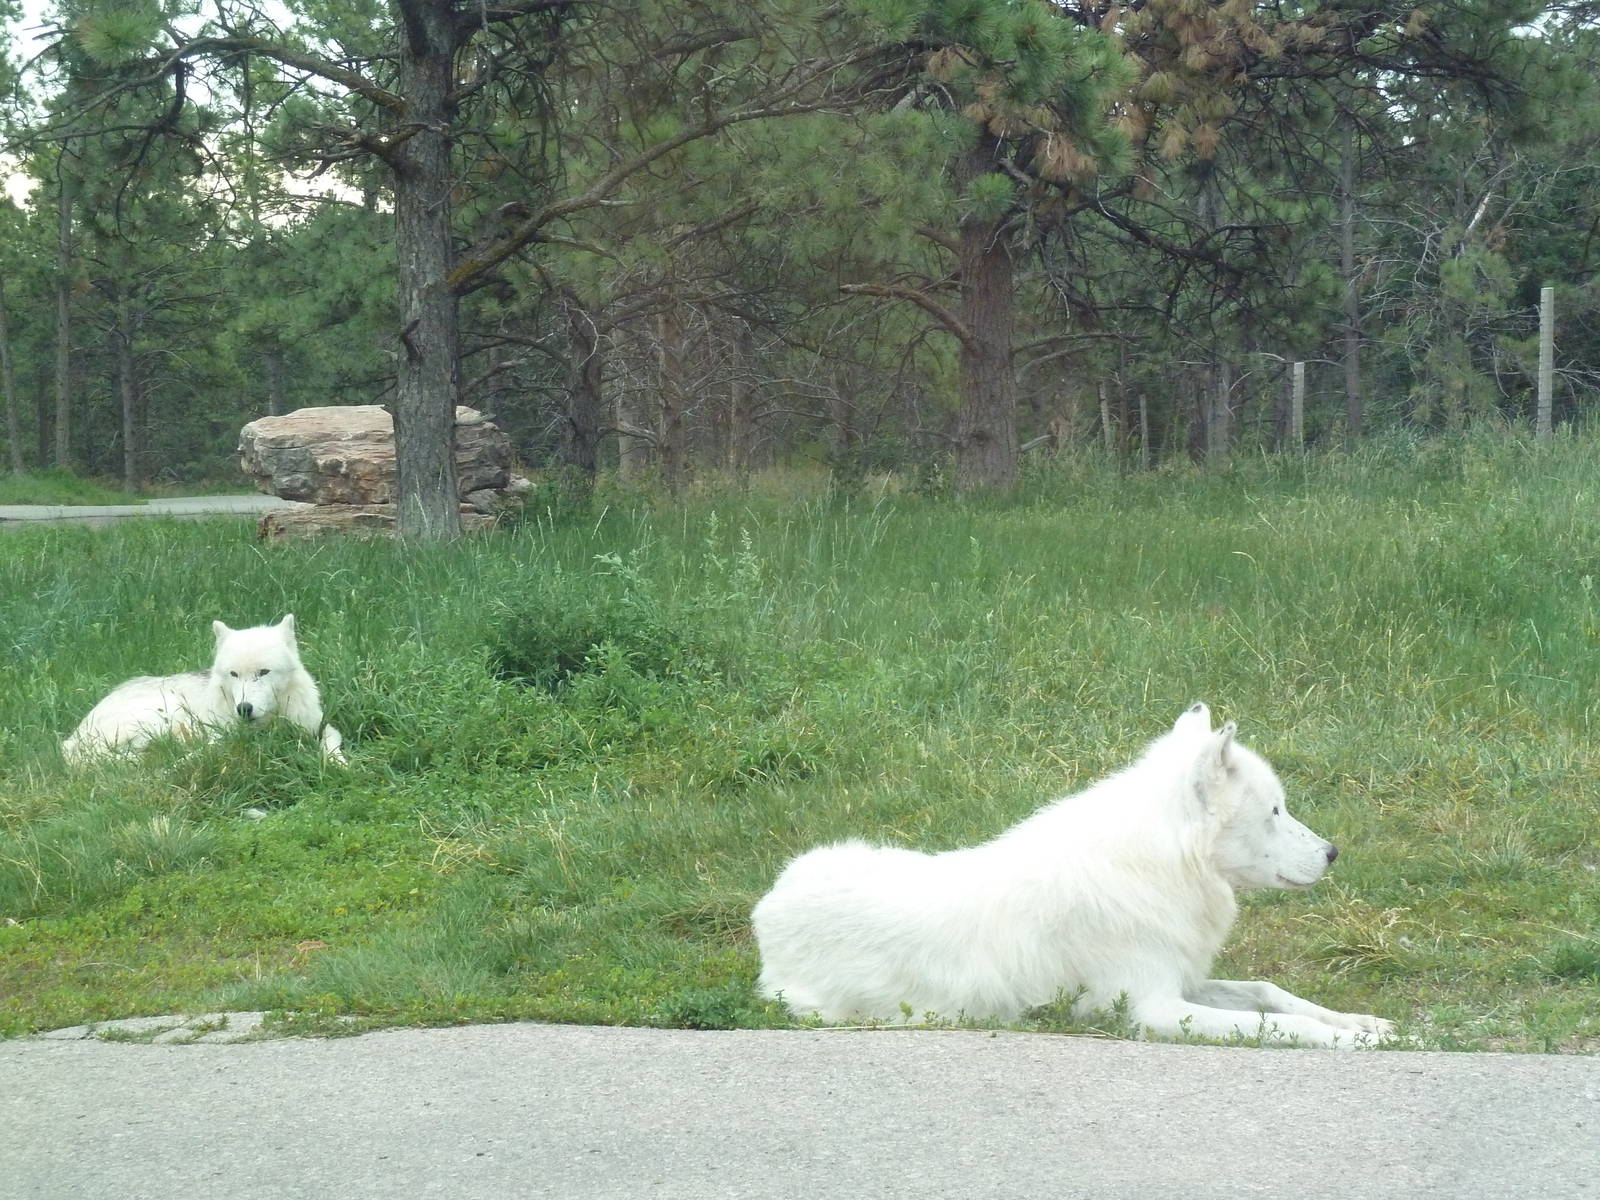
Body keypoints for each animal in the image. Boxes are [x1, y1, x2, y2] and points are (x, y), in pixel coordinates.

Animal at [62, 614, 346, 766]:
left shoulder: (322, 728)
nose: (244, 709)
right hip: (166, 714)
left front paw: (338, 765)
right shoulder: (222, 736)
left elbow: (332, 746)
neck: (268, 726)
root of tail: (72, 739)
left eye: (263, 672)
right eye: (234, 674)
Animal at [751, 703, 1393, 1048]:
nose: (1334, 852)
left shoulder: (1182, 981)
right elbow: (1277, 1025)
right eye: (1277, 812)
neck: (1153, 869)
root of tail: (767, 906)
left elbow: (1270, 995)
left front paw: (1365, 1021)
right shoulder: (1154, 1010)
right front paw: (1359, 1039)